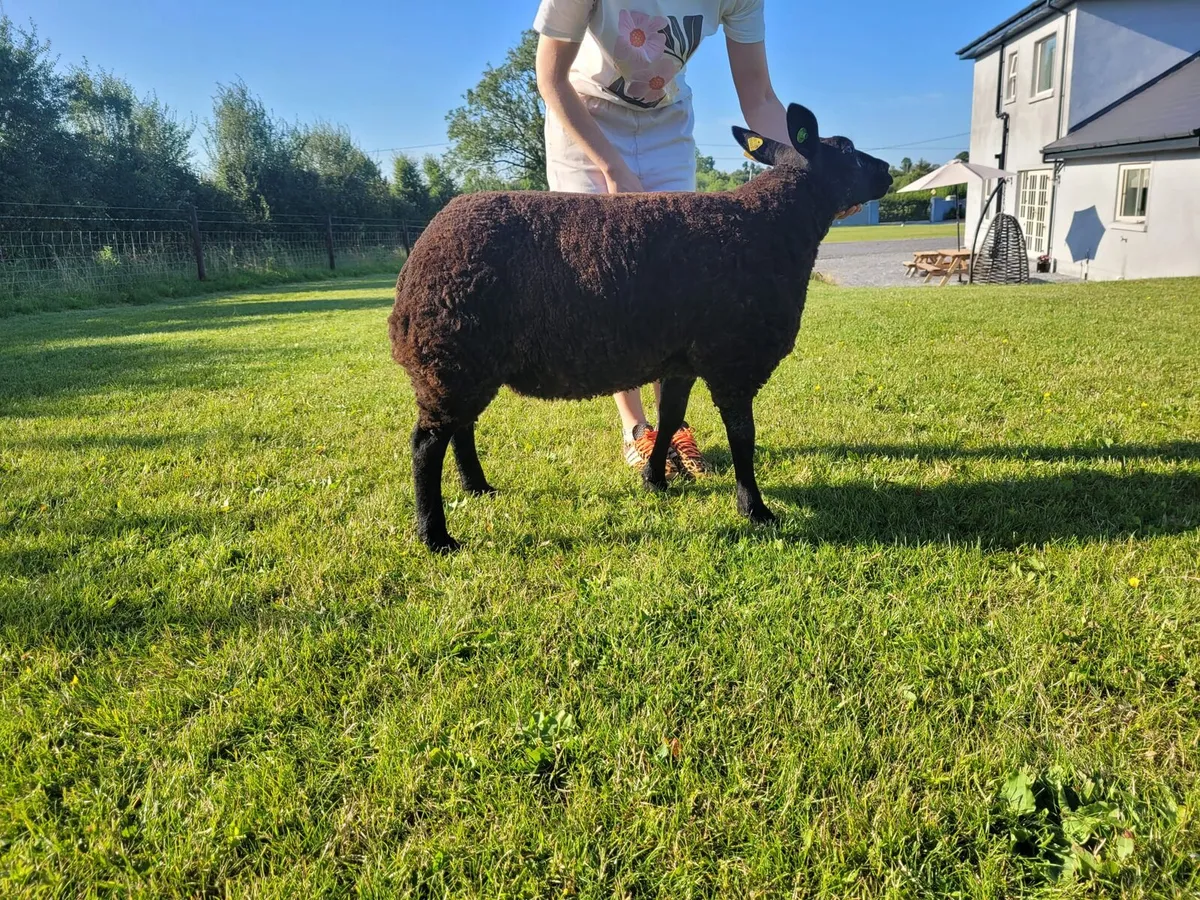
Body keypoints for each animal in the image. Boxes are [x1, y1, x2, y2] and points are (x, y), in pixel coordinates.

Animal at [389, 103, 893, 552]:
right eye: (848, 149)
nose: (887, 171)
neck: (773, 224)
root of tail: (418, 259)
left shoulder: (683, 357)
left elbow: (670, 417)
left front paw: (655, 479)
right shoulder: (732, 359)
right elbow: (742, 437)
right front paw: (755, 509)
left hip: (464, 363)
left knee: (460, 428)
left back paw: (477, 487)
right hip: (450, 356)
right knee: (425, 444)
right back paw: (435, 536)